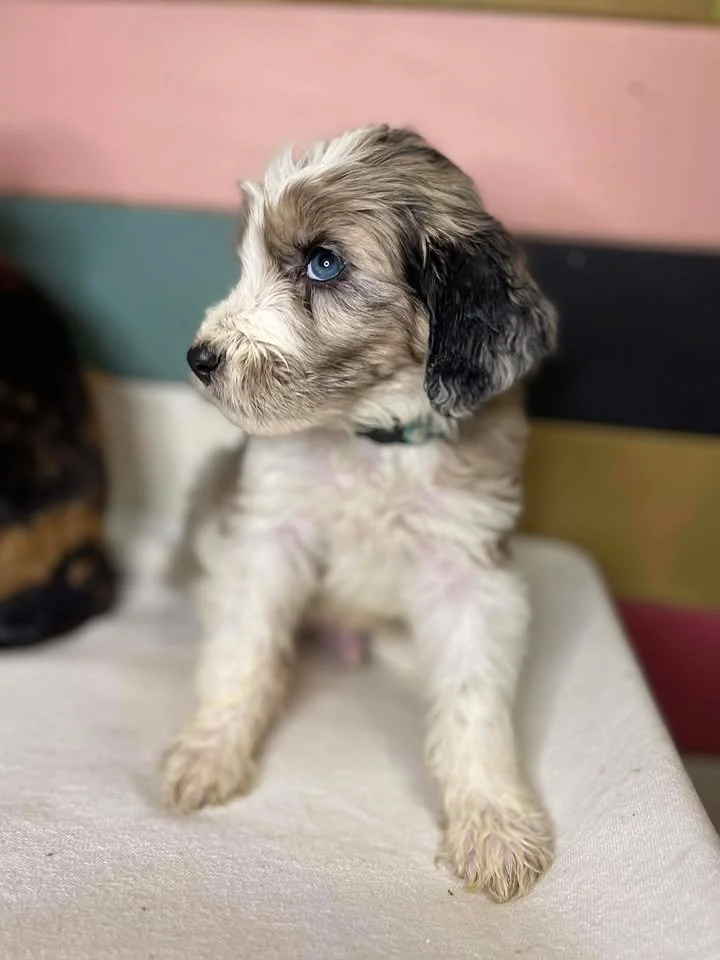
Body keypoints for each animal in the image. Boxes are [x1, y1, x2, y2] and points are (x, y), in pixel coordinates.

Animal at [162, 125, 557, 902]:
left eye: (324, 263)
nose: (200, 358)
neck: (372, 434)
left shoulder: (469, 568)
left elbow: (473, 695)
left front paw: (494, 824)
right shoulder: (268, 533)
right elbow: (242, 651)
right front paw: (209, 751)